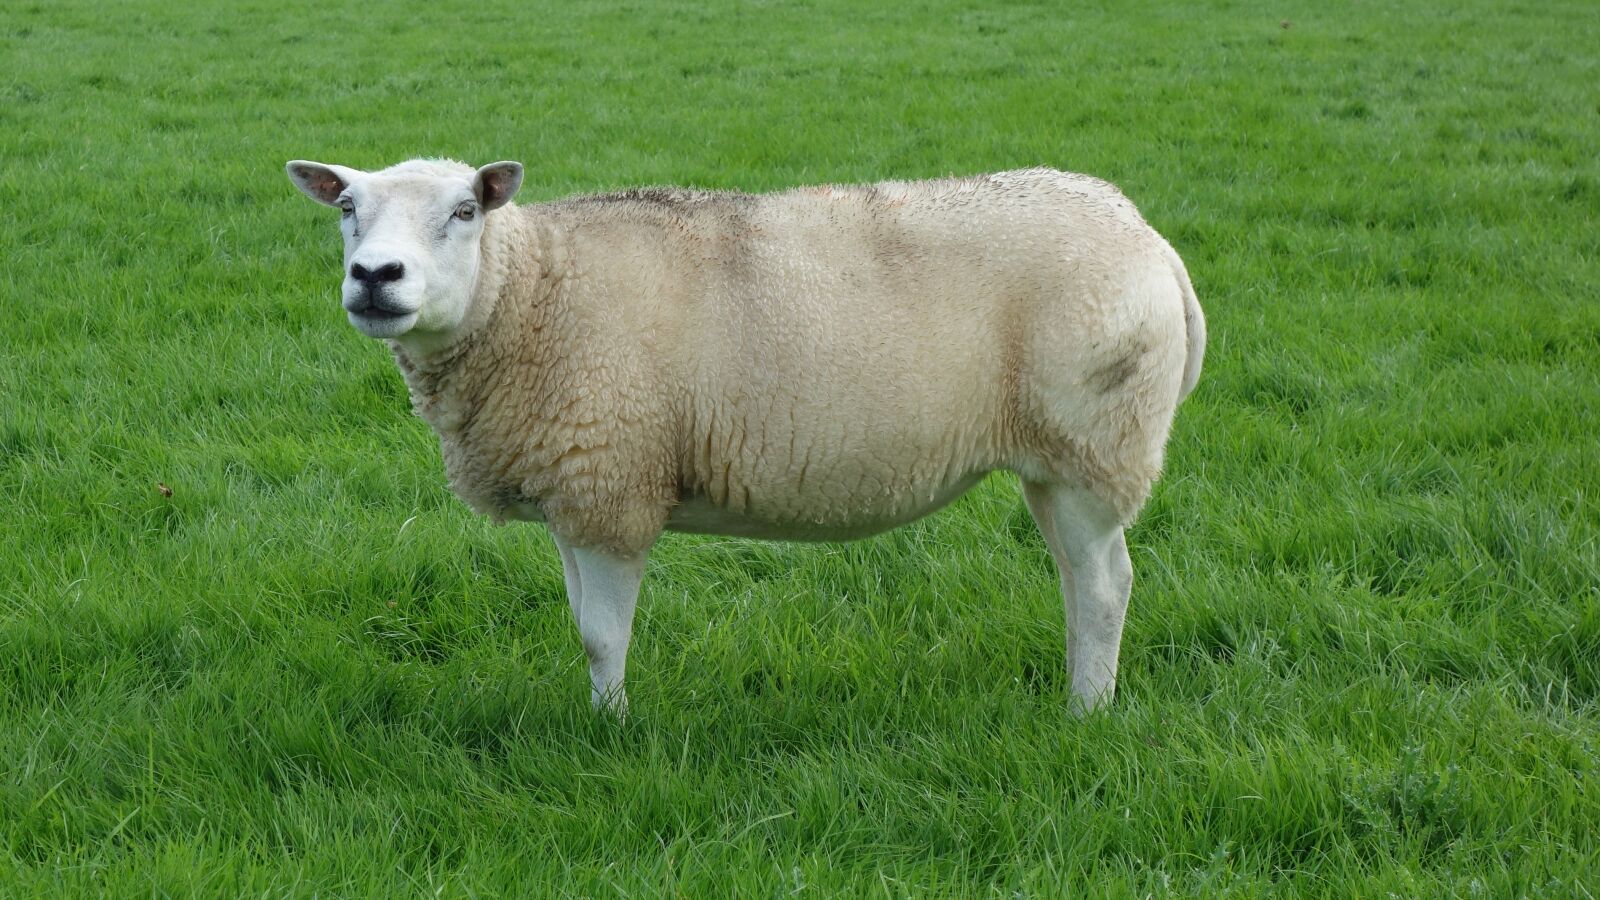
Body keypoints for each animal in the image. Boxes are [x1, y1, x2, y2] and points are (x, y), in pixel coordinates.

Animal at [286, 158, 1205, 715]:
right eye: (347, 209)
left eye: (465, 210)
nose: (375, 277)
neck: (531, 290)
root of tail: (1145, 235)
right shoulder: (575, 492)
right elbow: (581, 624)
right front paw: (598, 717)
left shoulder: (614, 485)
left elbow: (601, 635)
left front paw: (611, 731)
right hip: (1054, 459)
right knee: (1080, 579)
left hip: (1097, 441)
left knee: (1104, 586)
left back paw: (1086, 711)